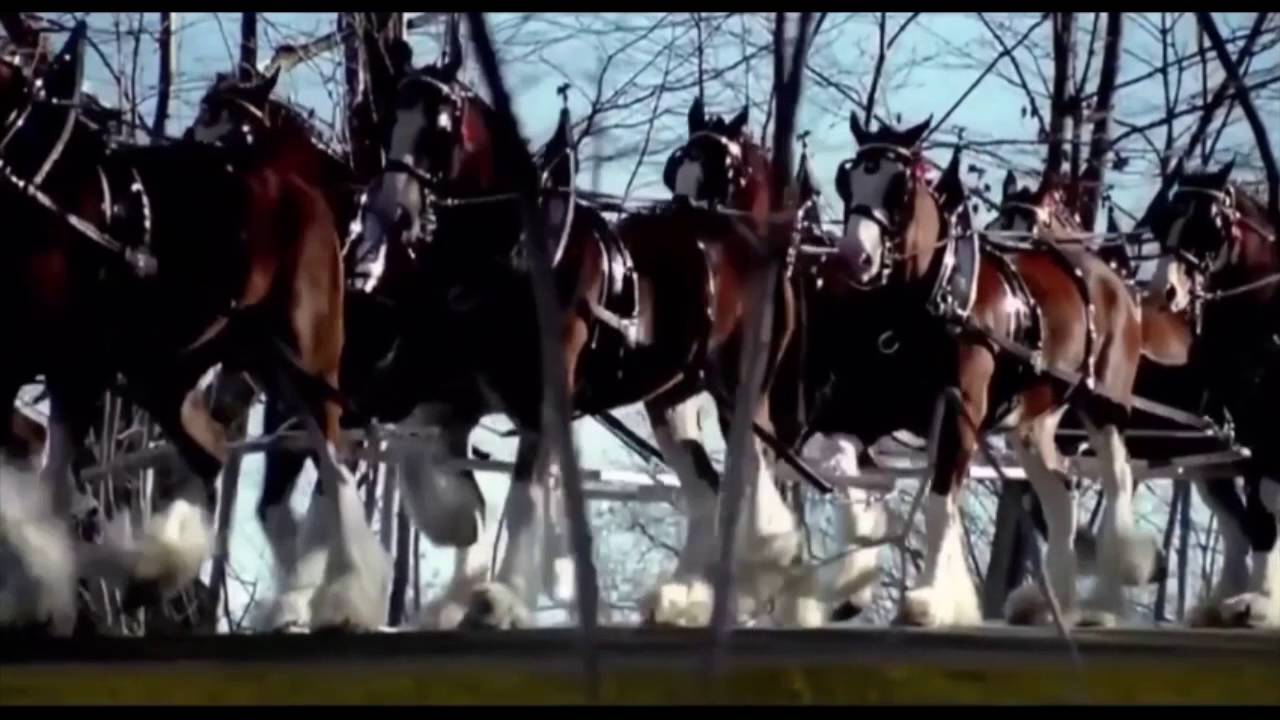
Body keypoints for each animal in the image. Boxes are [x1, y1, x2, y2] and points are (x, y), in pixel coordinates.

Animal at [0, 25, 385, 635]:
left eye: (233, 118)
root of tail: (309, 196)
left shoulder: (76, 367)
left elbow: (49, 487)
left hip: (309, 369)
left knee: (332, 471)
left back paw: (339, 597)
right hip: (172, 372)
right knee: (212, 456)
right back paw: (166, 568)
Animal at [792, 110, 1151, 628]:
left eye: (899, 186)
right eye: (850, 179)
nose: (852, 257)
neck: (928, 300)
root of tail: (1111, 276)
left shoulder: (960, 417)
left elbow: (940, 506)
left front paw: (928, 599)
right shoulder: (869, 410)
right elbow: (840, 463)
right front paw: (855, 577)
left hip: (1104, 406)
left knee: (1117, 479)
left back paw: (1104, 598)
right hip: (1032, 423)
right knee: (1060, 494)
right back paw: (1052, 601)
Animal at [1145, 162, 1279, 628]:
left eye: (1209, 225)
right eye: (1164, 222)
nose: (1162, 292)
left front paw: (1260, 603)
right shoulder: (1251, 433)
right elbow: (1257, 517)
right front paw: (1251, 601)